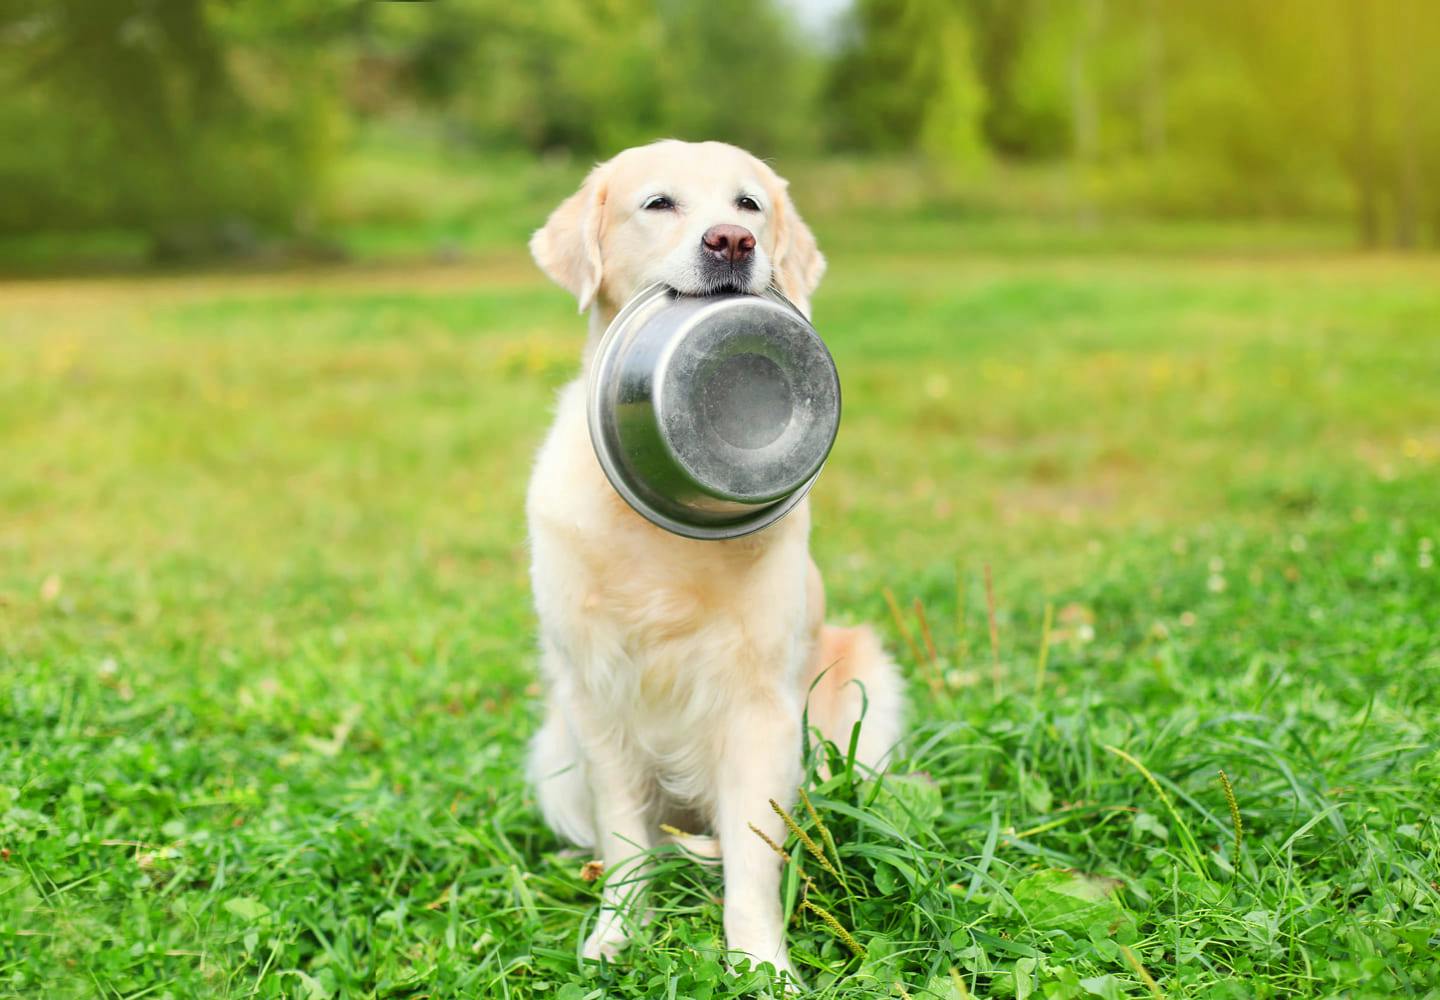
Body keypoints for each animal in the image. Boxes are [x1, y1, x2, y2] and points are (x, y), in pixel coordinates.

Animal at [524, 142, 892, 985]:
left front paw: (761, 964)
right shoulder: (596, 696)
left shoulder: (760, 707)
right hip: (553, 753)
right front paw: (616, 935)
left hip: (866, 685)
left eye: (748, 204)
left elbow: (753, 861)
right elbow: (626, 837)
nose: (732, 242)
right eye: (659, 203)